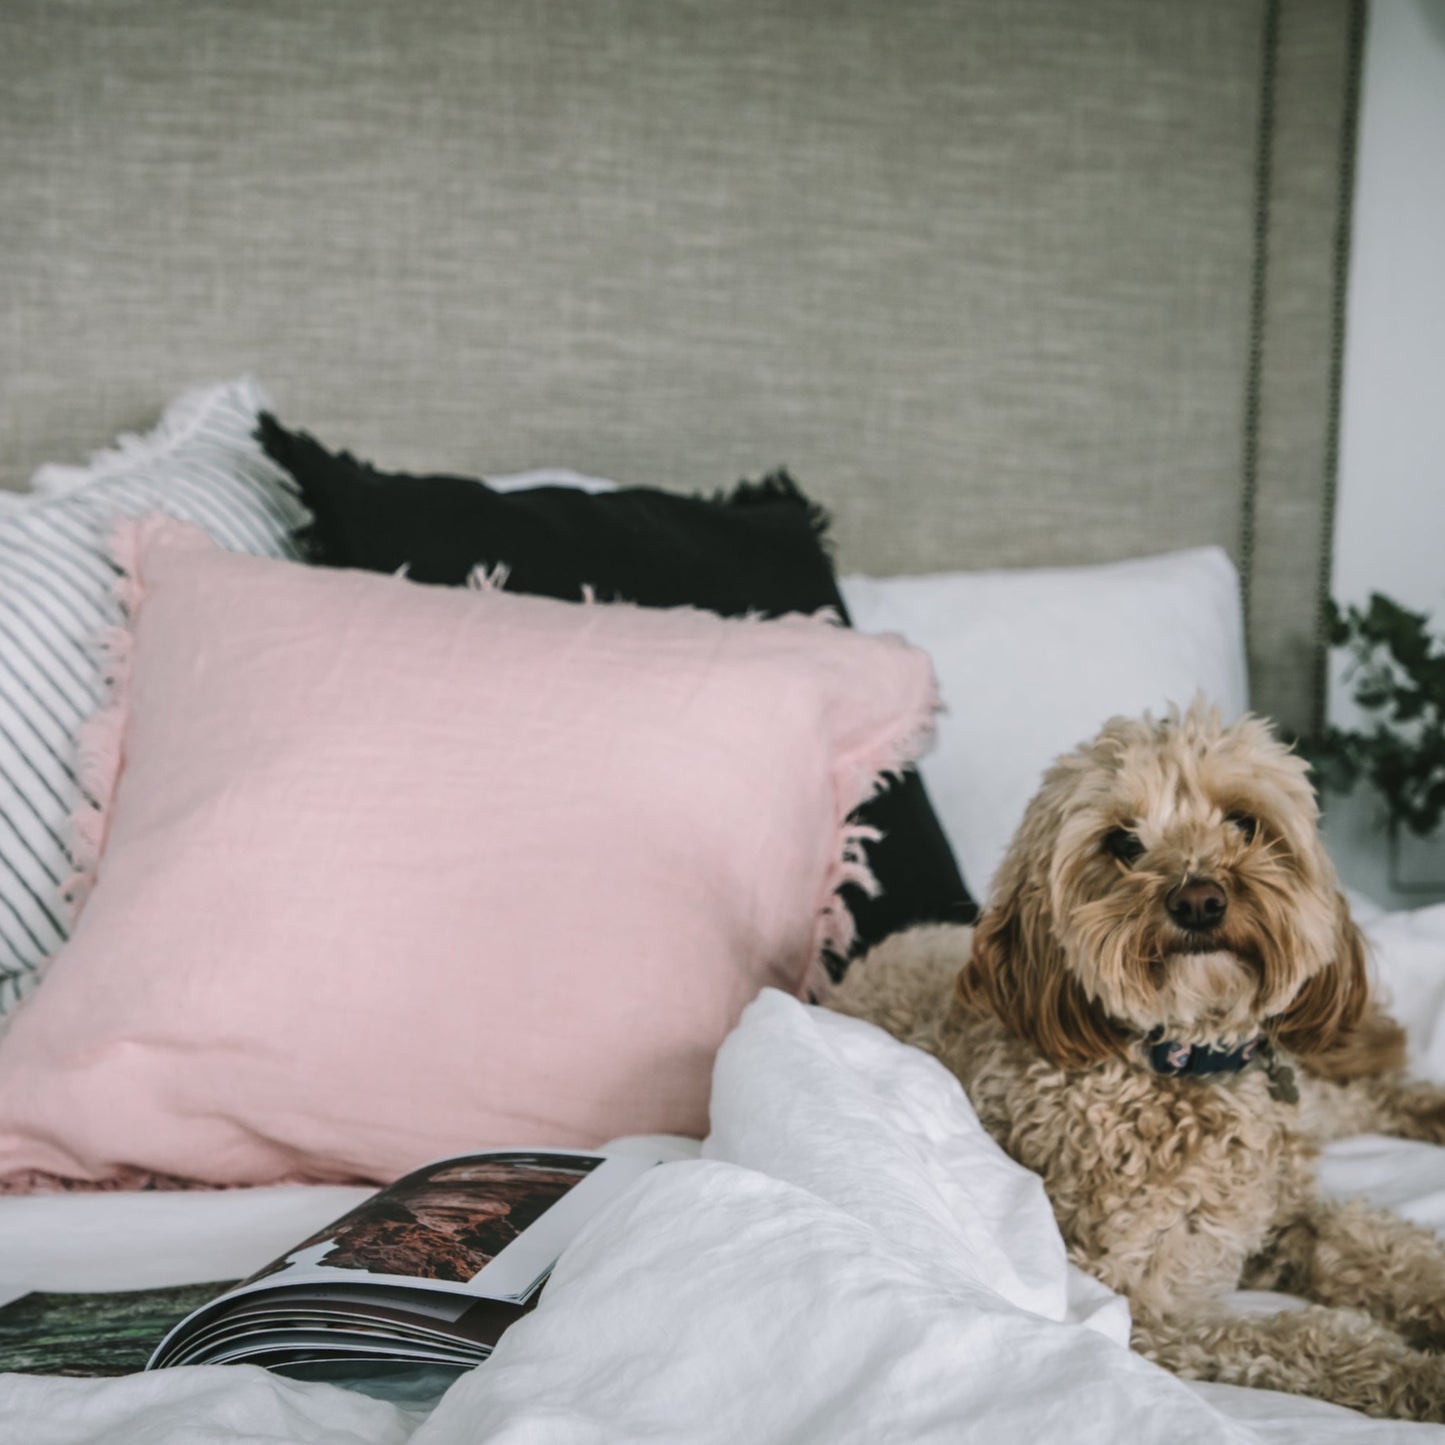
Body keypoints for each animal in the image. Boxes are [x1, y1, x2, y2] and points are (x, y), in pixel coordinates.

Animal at [832, 702, 1445, 1421]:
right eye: (1123, 844)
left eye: (1243, 823)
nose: (1199, 899)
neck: (1186, 1061)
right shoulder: (1144, 1312)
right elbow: (1303, 1335)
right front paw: (1420, 1375)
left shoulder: (1287, 1215)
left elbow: (1383, 1245)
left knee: (1374, 1094)